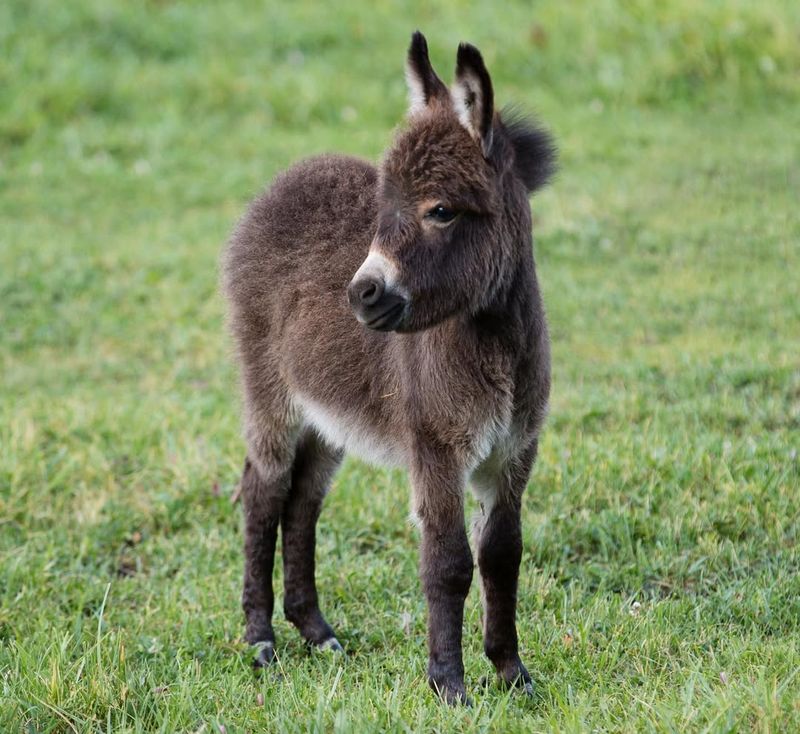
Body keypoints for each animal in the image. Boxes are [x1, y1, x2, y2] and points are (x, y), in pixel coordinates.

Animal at [222, 31, 552, 704]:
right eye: (384, 206)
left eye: (441, 211)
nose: (361, 296)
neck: (494, 340)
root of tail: (286, 178)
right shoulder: (436, 450)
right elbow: (448, 562)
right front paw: (449, 685)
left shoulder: (514, 452)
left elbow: (502, 554)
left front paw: (512, 674)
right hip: (271, 394)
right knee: (263, 492)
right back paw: (261, 639)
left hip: (328, 419)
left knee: (302, 502)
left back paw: (315, 631)